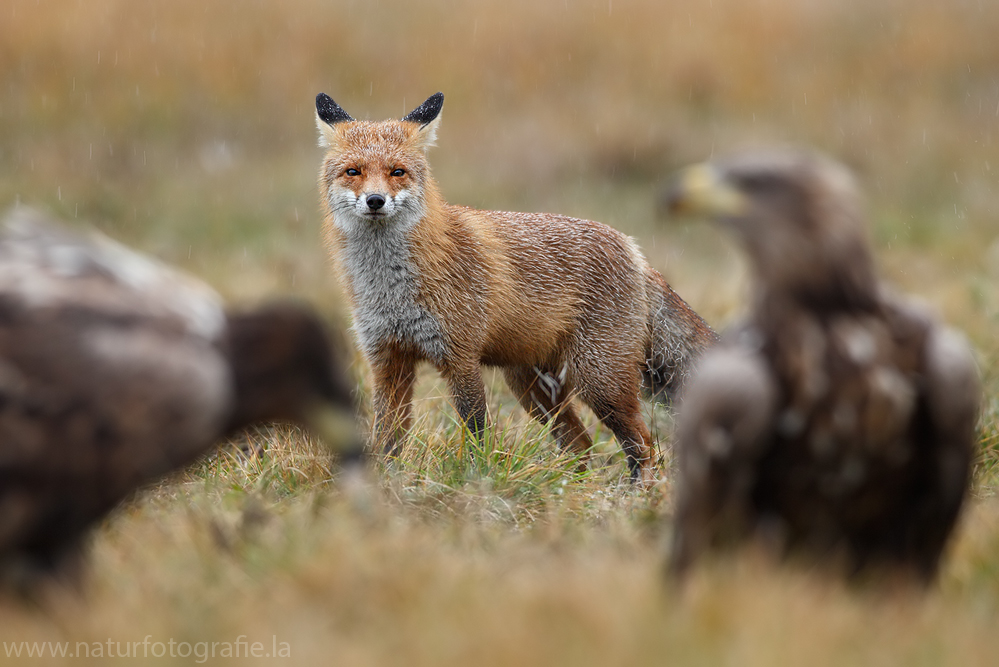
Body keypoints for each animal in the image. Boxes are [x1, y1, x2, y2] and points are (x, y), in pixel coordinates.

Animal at [316, 91, 716, 482]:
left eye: (397, 172)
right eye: (353, 172)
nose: (375, 201)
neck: (390, 288)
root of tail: (635, 250)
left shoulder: (461, 357)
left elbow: (477, 429)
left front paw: (477, 476)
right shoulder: (387, 359)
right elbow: (388, 435)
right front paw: (385, 481)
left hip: (599, 381)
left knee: (643, 444)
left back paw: (639, 490)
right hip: (533, 386)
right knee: (582, 445)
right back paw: (566, 487)